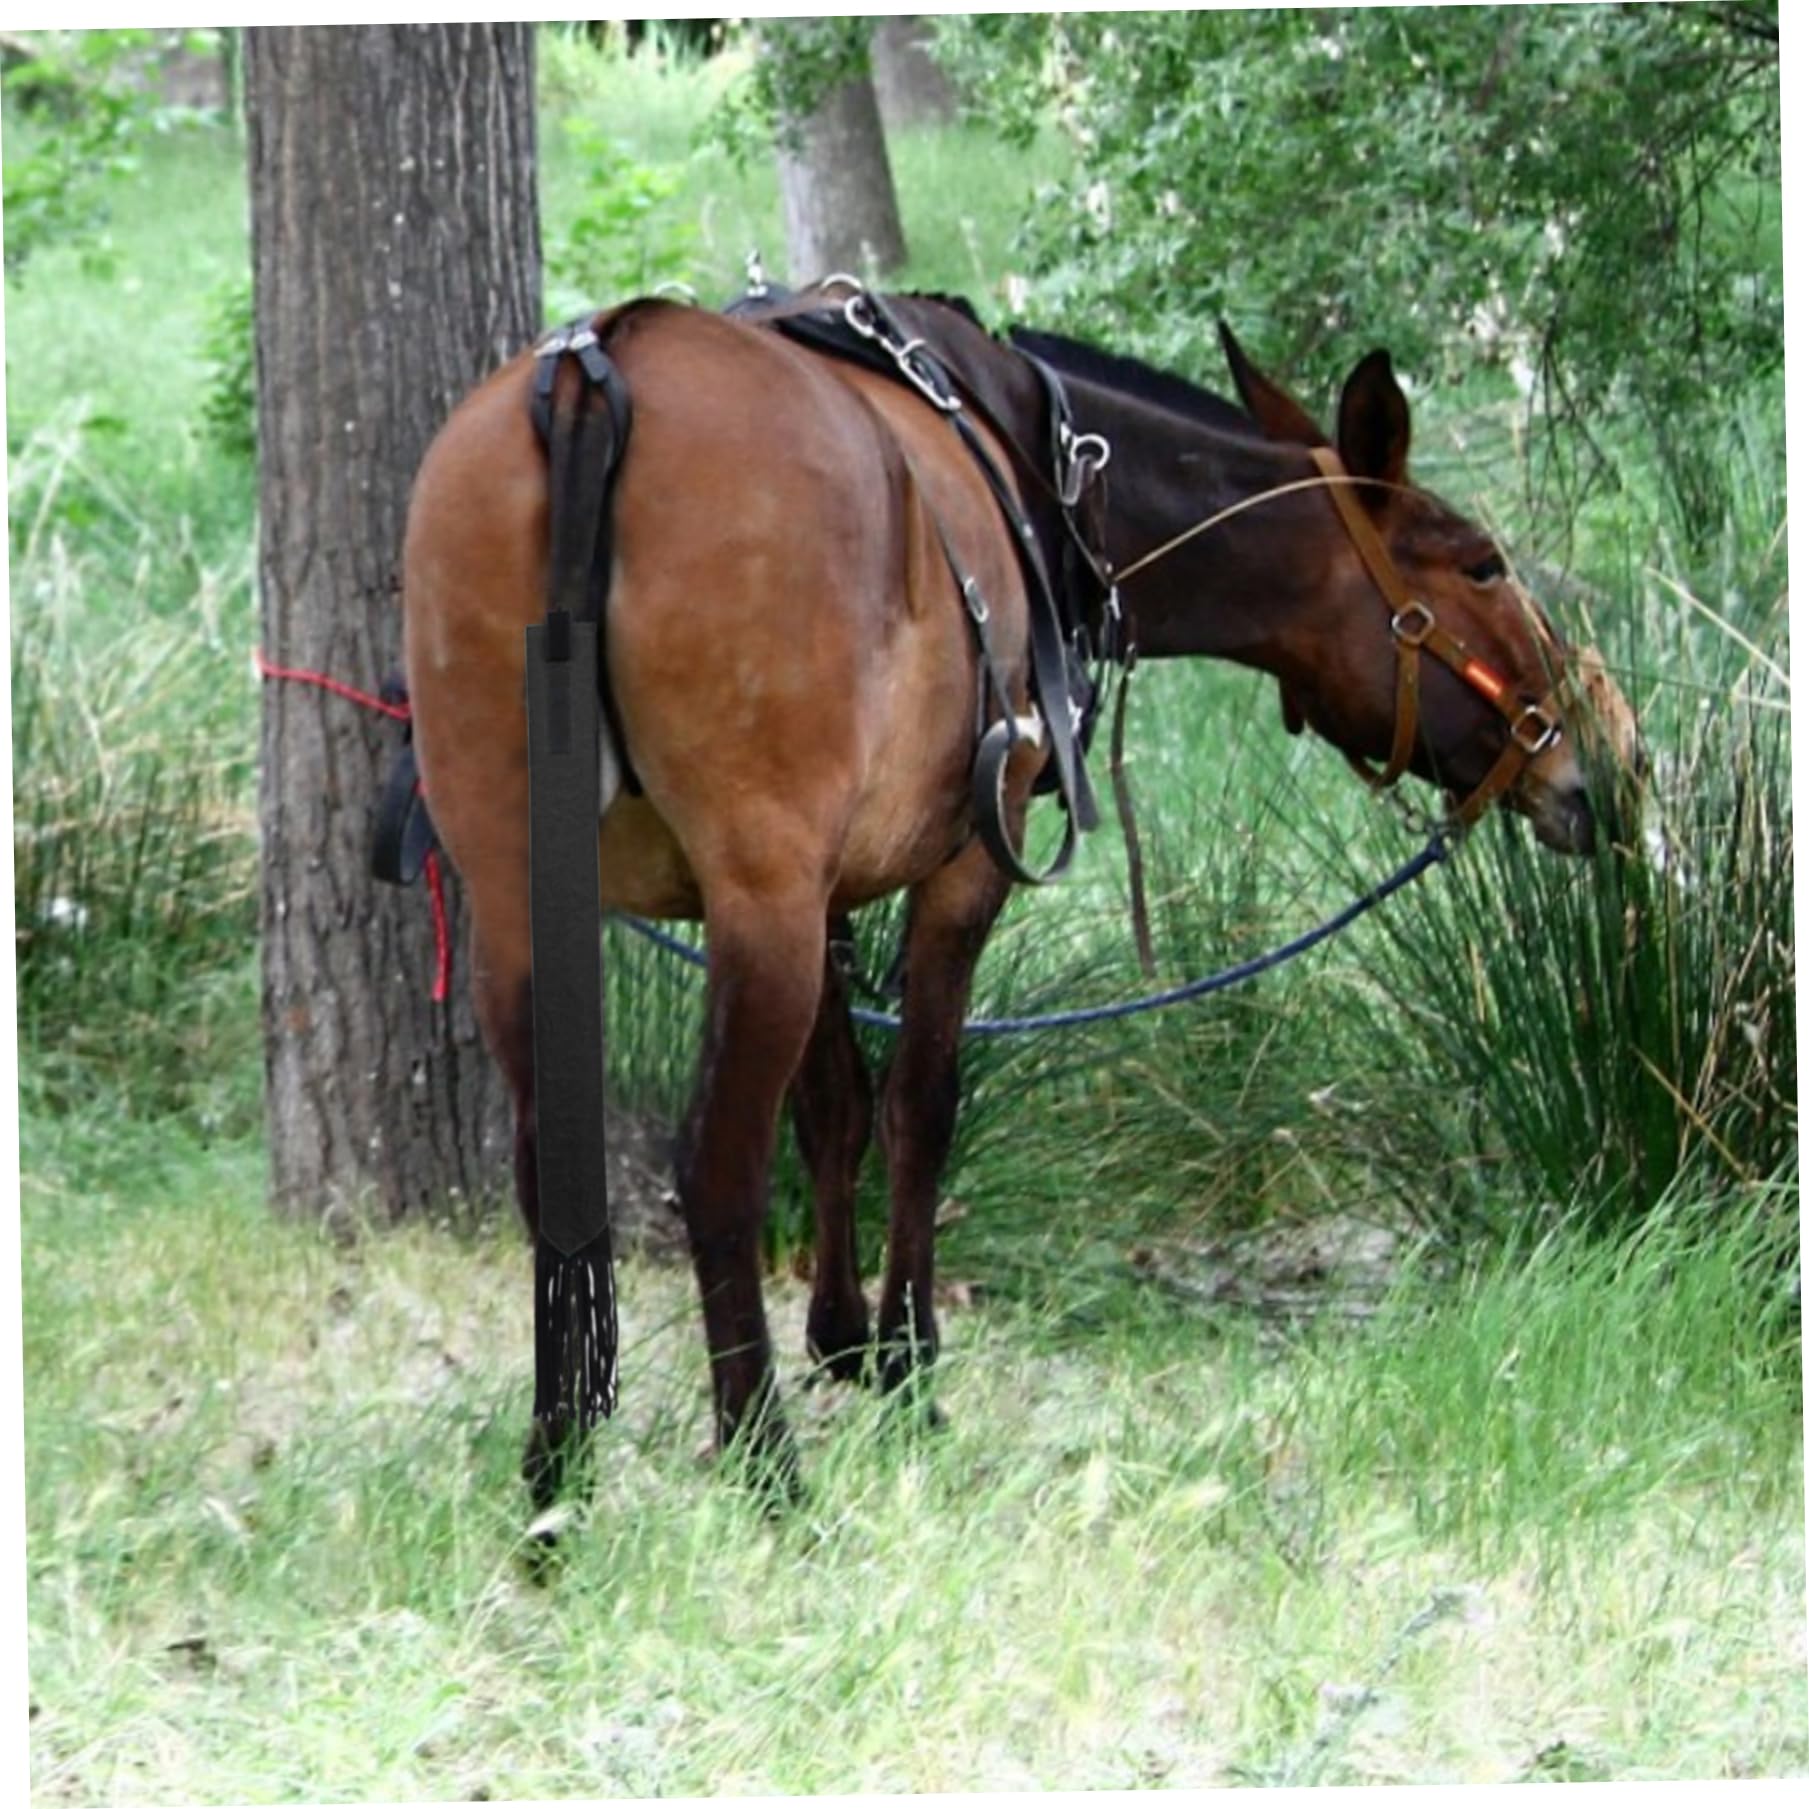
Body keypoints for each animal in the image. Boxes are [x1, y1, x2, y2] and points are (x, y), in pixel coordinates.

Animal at [400, 286, 1641, 1506]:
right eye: (1479, 564)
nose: (1598, 754)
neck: (1051, 472)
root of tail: (593, 373)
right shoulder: (949, 874)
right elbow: (921, 1104)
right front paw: (907, 1366)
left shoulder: (826, 892)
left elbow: (836, 1104)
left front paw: (844, 1335)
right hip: (754, 899)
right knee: (715, 1164)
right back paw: (765, 1465)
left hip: (528, 901)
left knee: (552, 1166)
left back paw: (558, 1466)